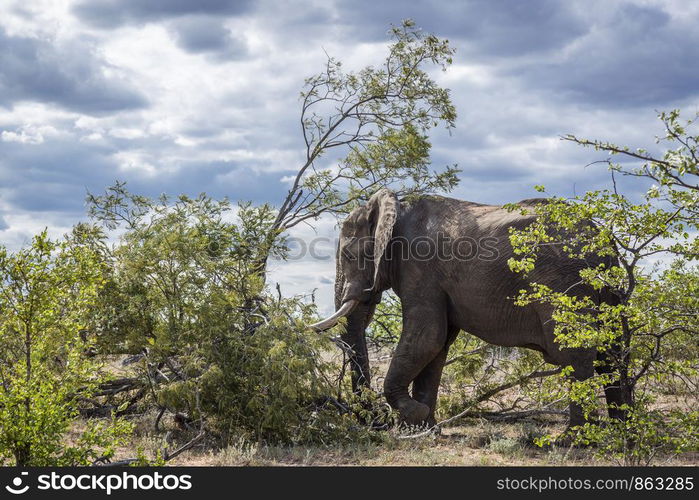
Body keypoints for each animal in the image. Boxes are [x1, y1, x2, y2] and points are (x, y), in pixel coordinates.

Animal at [312, 189, 624, 428]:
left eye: (348, 255)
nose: (377, 420)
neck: (396, 207)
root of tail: (606, 243)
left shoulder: (420, 268)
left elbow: (427, 337)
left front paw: (415, 416)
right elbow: (437, 346)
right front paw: (423, 429)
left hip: (567, 283)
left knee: (575, 353)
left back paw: (574, 440)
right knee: (612, 355)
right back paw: (620, 432)